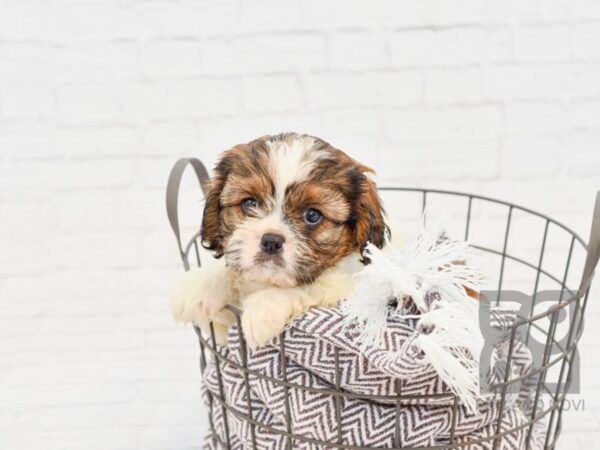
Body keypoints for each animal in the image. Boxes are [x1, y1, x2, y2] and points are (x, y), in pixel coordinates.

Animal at [169, 132, 386, 350]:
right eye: (250, 203)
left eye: (313, 215)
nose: (271, 241)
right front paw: (197, 287)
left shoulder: (355, 284)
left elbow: (314, 286)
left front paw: (263, 306)